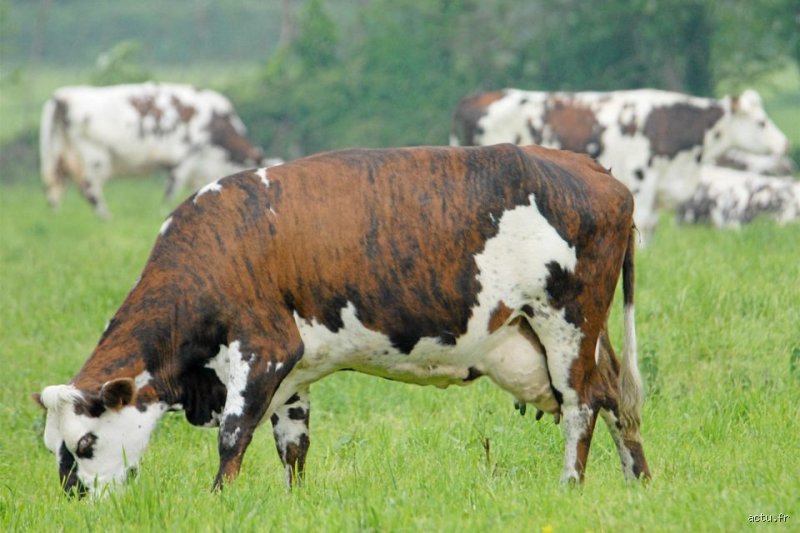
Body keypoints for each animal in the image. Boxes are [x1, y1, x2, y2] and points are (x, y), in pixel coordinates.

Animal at [34, 144, 649, 497]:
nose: (75, 499)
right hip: (578, 336)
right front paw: (293, 504)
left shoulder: (264, 350)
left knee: (582, 406)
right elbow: (293, 445)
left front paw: (219, 501)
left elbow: (234, 436)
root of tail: (595, 171)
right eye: (52, 447)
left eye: (85, 443)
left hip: (567, 323)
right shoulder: (292, 375)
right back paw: (638, 481)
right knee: (615, 396)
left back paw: (570, 486)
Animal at [40, 82, 271, 219]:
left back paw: (56, 219)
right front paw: (163, 212)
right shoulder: (183, 159)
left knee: (54, 190)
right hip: (95, 158)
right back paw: (106, 218)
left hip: (57, 157)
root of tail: (65, 95)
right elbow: (170, 192)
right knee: (90, 189)